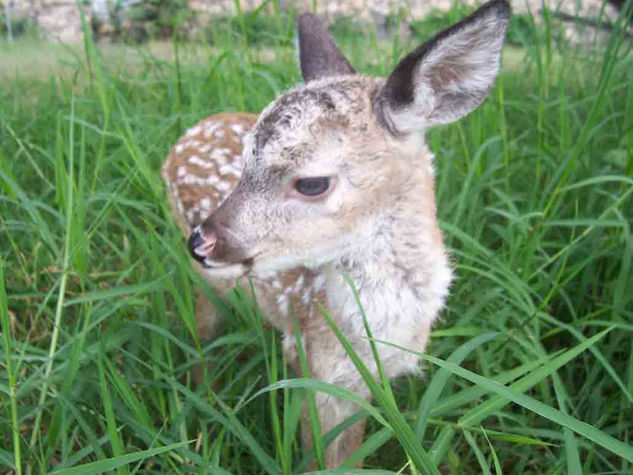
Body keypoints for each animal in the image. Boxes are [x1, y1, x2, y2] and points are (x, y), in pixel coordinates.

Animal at [163, 0, 508, 468]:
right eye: (245, 160)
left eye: (311, 183)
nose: (201, 242)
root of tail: (181, 140)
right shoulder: (313, 367)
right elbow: (322, 458)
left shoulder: (367, 381)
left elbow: (353, 455)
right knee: (202, 331)